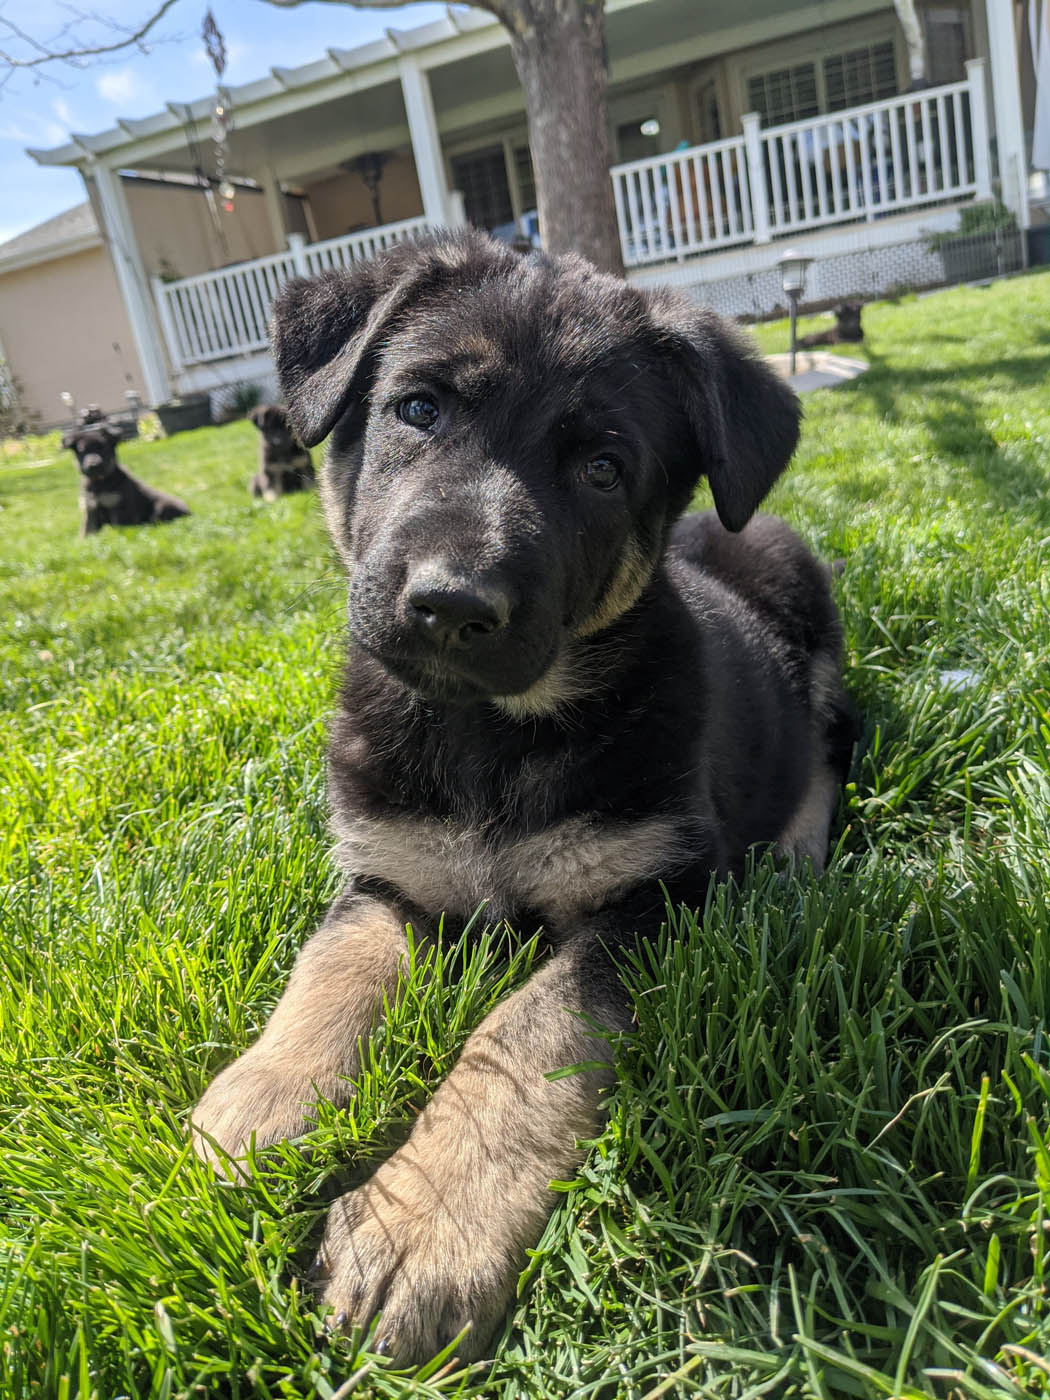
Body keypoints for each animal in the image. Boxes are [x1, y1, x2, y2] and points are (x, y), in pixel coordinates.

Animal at [63, 420, 191, 534]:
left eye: (103, 448)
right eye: (82, 451)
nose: (94, 465)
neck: (99, 481)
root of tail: (190, 513)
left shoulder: (119, 508)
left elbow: (118, 529)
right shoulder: (90, 509)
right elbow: (86, 531)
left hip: (162, 506)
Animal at [193, 229, 856, 1366]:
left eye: (602, 468)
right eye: (418, 410)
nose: (451, 607)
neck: (489, 735)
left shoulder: (655, 897)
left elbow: (522, 1033)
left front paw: (420, 1228)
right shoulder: (388, 872)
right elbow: (331, 970)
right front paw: (266, 1098)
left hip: (802, 598)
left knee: (824, 747)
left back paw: (793, 851)